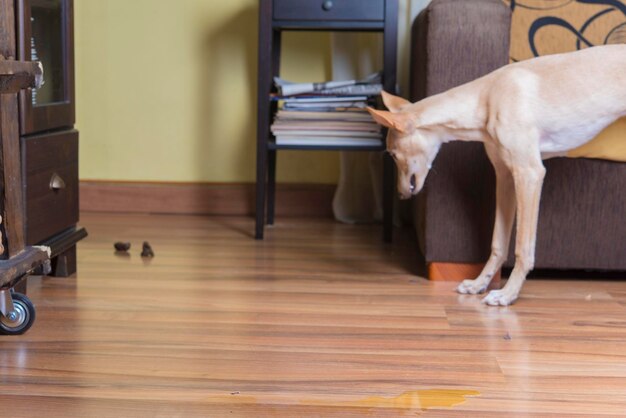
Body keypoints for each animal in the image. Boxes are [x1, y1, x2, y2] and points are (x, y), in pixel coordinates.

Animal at [366, 45, 624, 306]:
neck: (488, 97)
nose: (400, 194)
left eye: (393, 154)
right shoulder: (505, 177)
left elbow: (522, 247)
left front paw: (508, 294)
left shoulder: (529, 173)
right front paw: (480, 283)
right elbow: (498, 243)